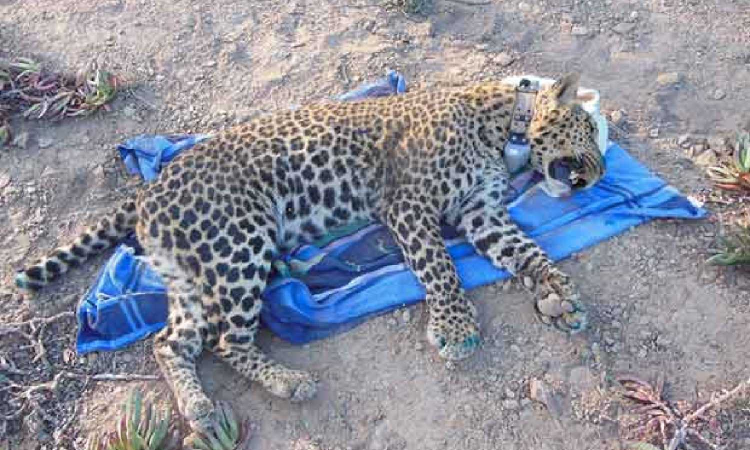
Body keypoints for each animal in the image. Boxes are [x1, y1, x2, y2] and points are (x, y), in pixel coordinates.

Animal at [14, 72, 605, 437]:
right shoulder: (410, 203)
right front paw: (456, 329)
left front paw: (560, 295)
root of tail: (149, 190)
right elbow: (441, 266)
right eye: (593, 133)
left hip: (189, 274)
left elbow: (528, 249)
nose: (599, 176)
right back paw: (288, 382)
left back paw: (201, 410)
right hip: (240, 240)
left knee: (172, 342)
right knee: (226, 339)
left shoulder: (482, 212)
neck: (505, 126)